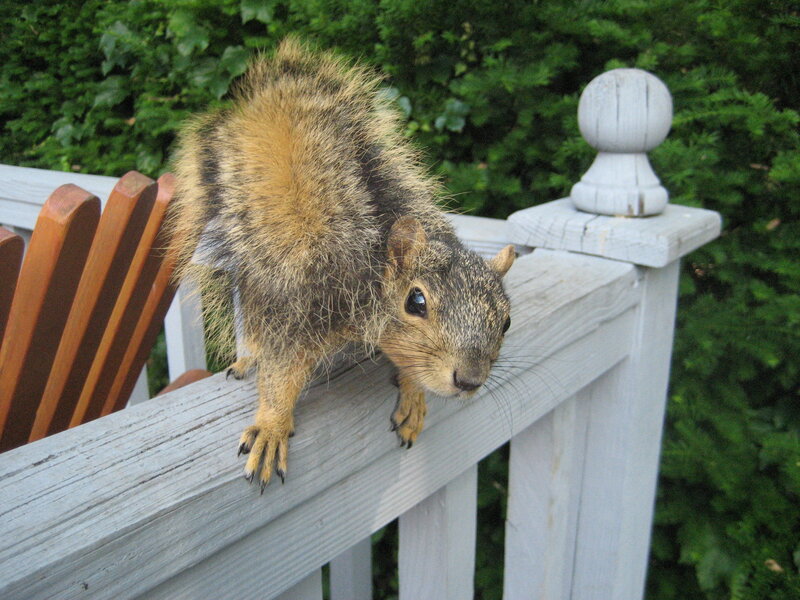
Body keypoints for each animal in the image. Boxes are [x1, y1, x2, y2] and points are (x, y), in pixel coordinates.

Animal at [168, 38, 515, 492]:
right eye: (416, 303)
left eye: (506, 322)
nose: (469, 380)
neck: (370, 273)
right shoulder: (303, 310)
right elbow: (281, 373)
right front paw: (272, 425)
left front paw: (414, 396)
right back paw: (248, 359)